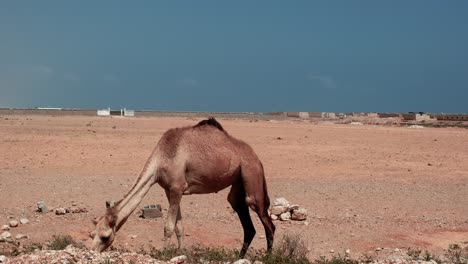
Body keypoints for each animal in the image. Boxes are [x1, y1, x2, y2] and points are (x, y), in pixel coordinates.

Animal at [89, 117, 276, 256]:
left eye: (105, 236)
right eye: (92, 234)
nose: (92, 251)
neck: (162, 158)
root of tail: (256, 157)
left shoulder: (177, 188)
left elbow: (168, 227)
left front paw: (163, 254)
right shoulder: (169, 189)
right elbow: (179, 227)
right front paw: (181, 252)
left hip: (251, 173)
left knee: (265, 219)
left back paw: (268, 257)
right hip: (238, 181)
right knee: (243, 216)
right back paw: (239, 256)